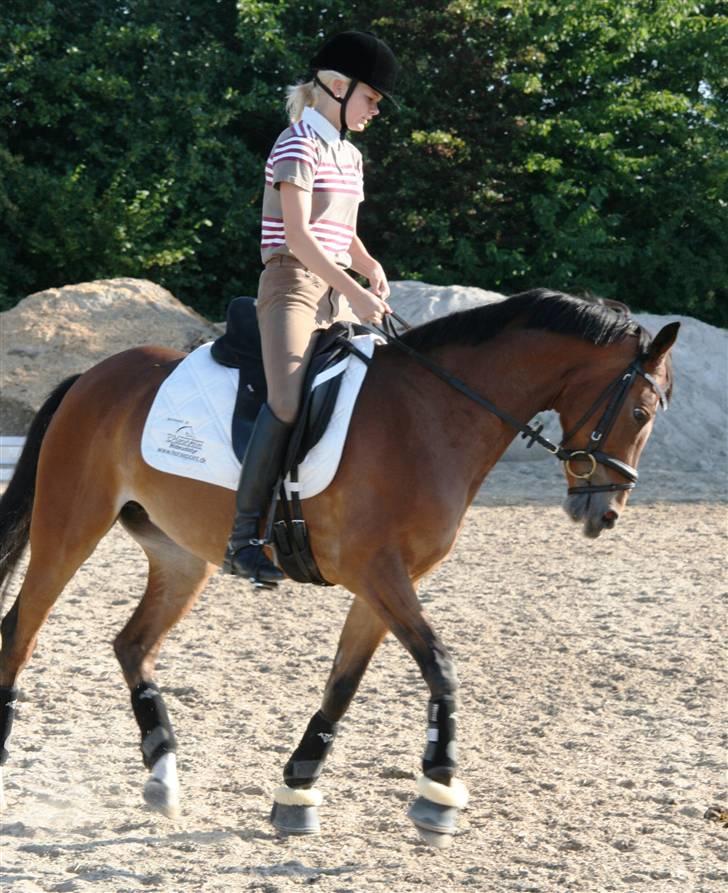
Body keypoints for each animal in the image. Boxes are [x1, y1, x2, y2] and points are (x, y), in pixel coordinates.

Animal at [0, 289, 678, 845]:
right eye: (641, 414)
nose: (605, 513)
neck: (432, 415)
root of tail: (93, 375)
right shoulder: (376, 572)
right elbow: (441, 665)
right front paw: (437, 793)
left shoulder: (387, 581)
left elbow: (343, 683)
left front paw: (297, 791)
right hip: (69, 529)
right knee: (20, 631)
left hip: (181, 555)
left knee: (132, 645)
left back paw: (164, 776)